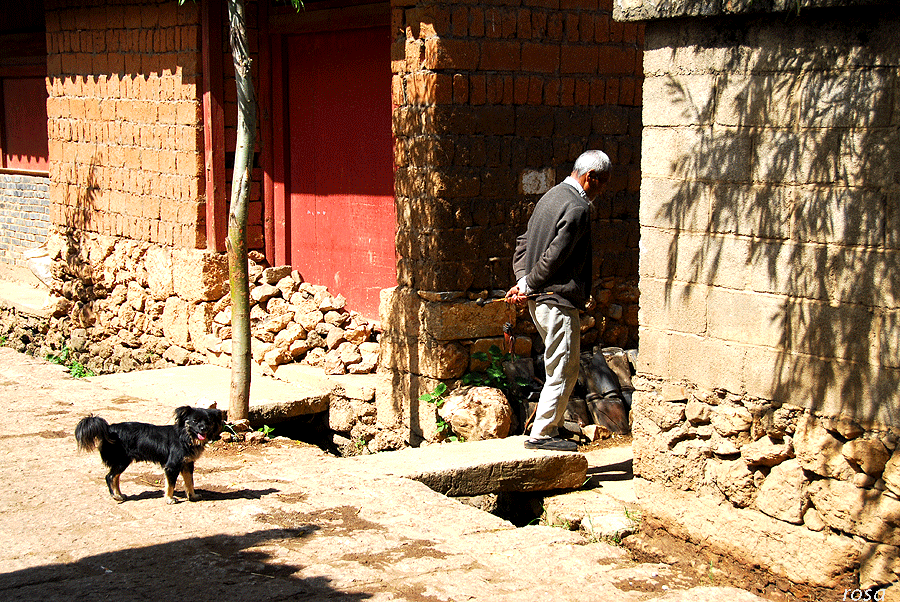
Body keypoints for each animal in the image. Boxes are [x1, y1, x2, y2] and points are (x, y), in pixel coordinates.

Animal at [76, 404, 225, 502]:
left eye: (208, 421)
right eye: (195, 421)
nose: (203, 428)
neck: (185, 437)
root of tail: (108, 429)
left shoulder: (187, 464)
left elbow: (190, 482)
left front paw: (192, 496)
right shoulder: (172, 466)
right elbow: (171, 485)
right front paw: (169, 499)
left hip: (122, 462)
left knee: (115, 477)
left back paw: (120, 494)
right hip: (122, 461)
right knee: (110, 477)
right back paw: (115, 496)